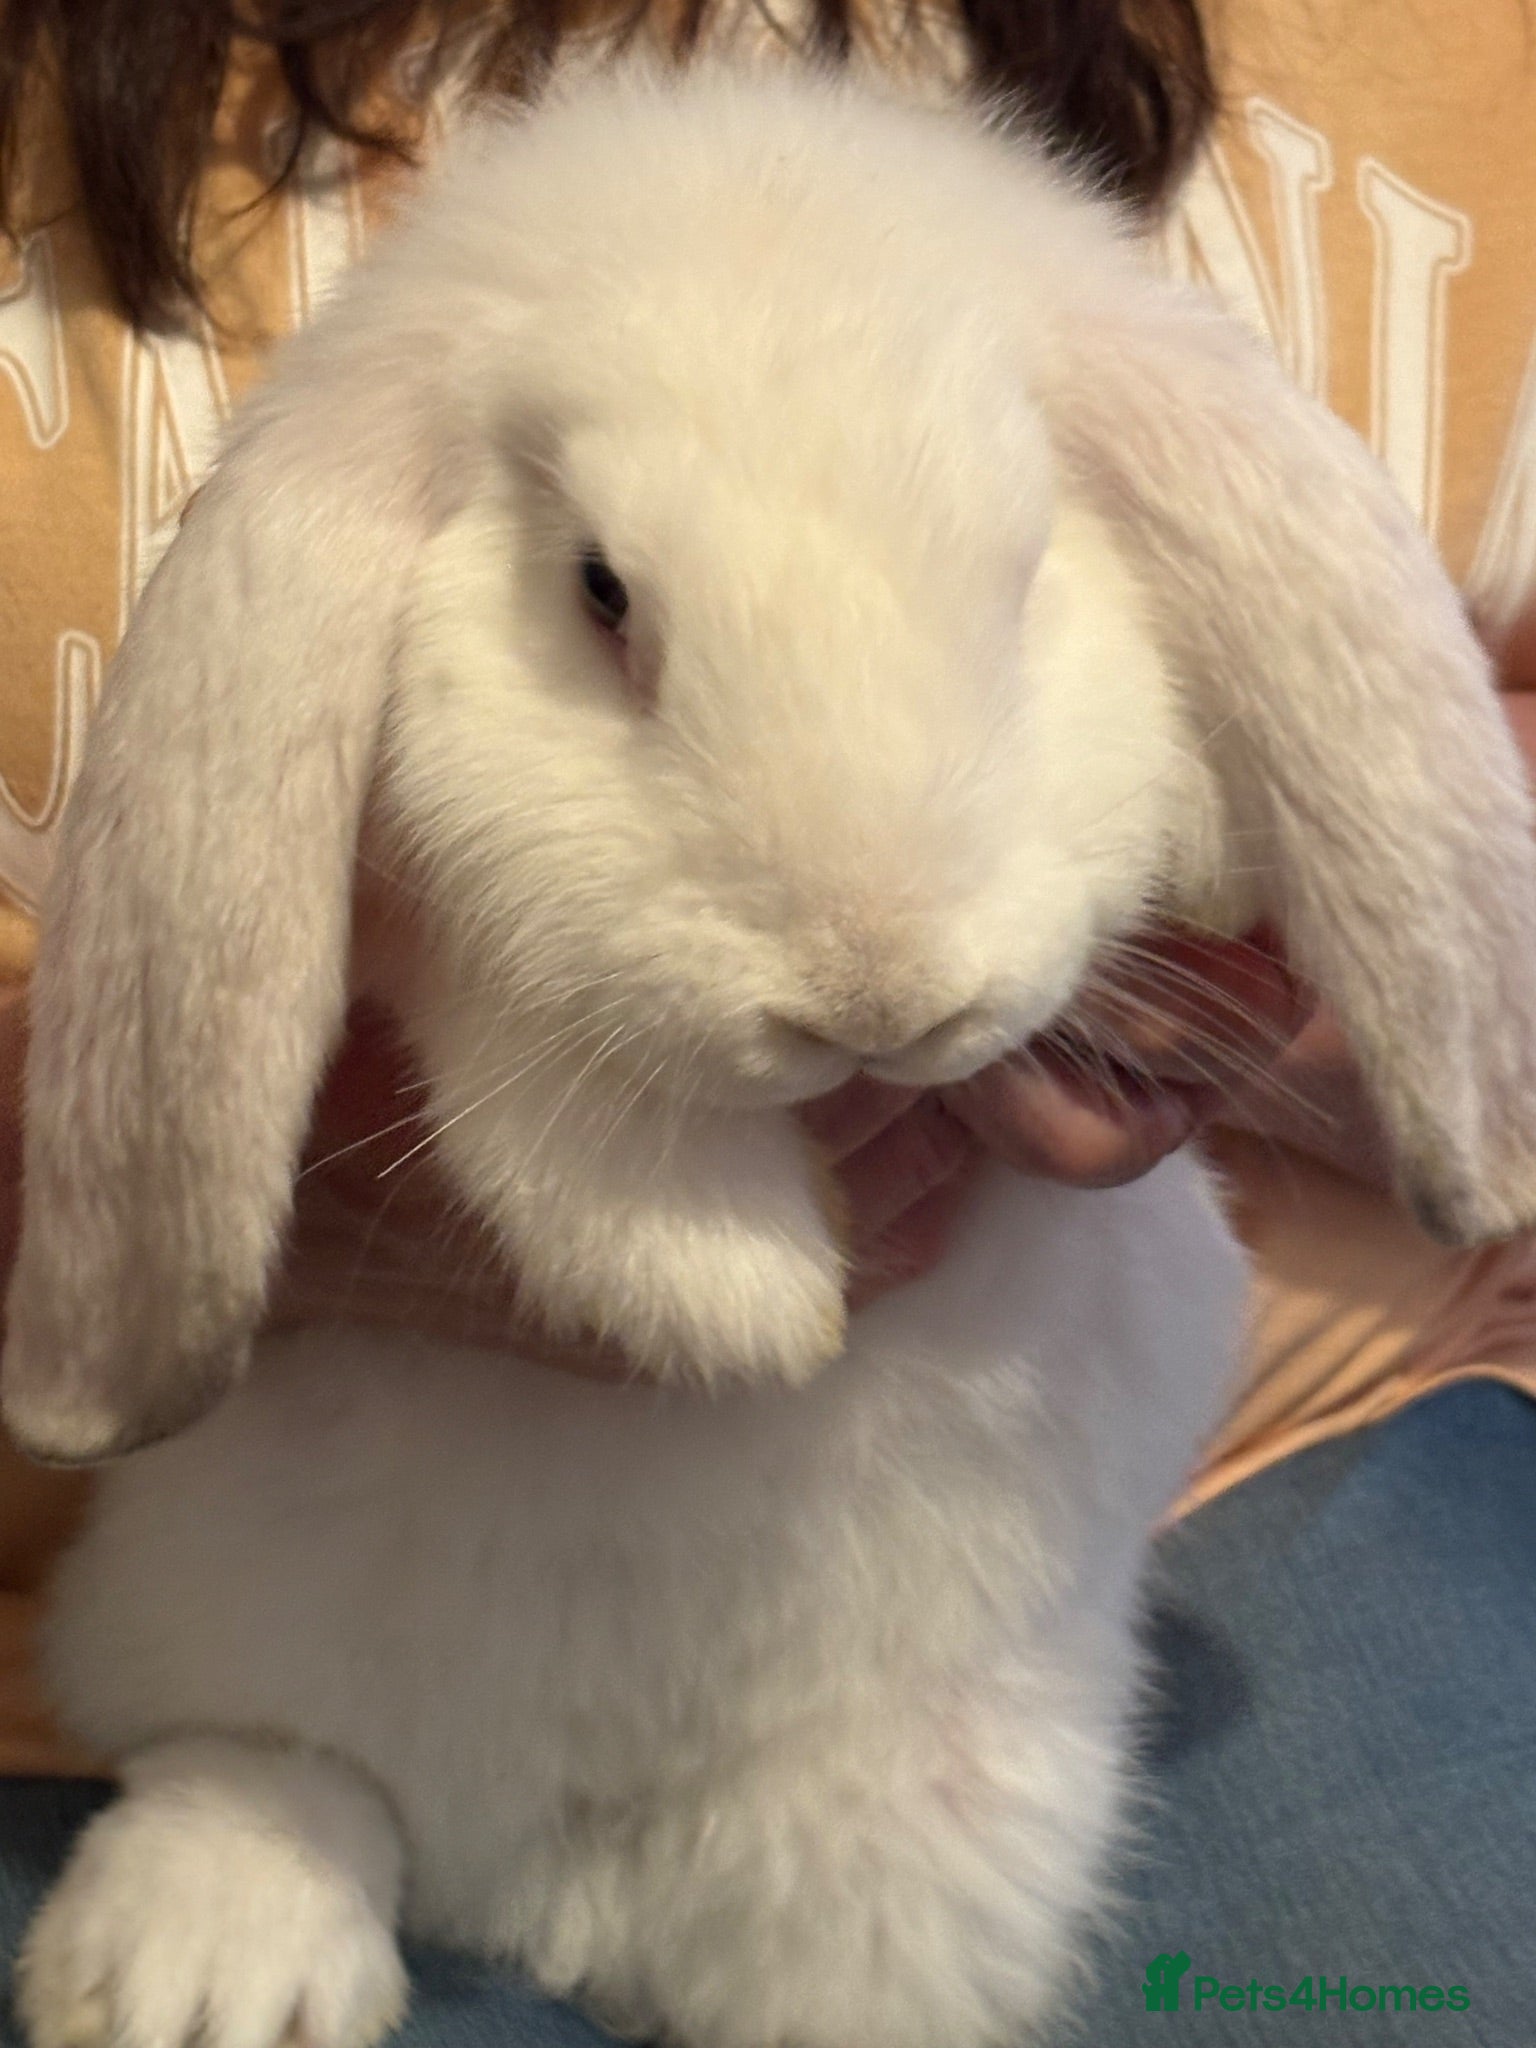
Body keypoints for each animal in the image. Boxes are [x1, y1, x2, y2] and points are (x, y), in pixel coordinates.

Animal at [8, 54, 1536, 2048]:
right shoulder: (465, 951)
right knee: (261, 1757)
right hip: (216, 1607)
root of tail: (546, 1886)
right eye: (600, 592)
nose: (877, 998)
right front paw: (743, 1302)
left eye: (1027, 569)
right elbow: (532, 1093)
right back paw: (197, 1969)